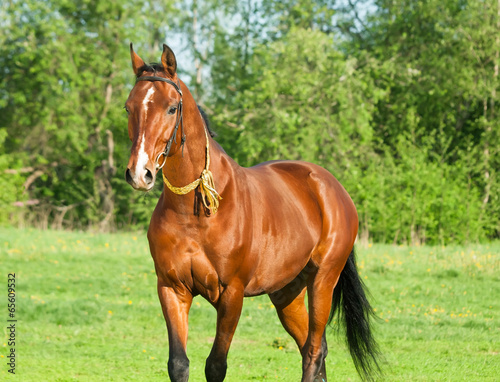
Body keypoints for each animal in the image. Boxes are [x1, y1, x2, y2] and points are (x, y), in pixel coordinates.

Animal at [124, 43, 378, 380]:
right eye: (129, 107)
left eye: (172, 108)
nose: (140, 173)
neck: (194, 216)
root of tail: (331, 187)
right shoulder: (172, 288)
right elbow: (178, 364)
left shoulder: (231, 294)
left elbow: (216, 365)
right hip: (287, 292)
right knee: (314, 348)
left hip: (324, 280)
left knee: (313, 351)